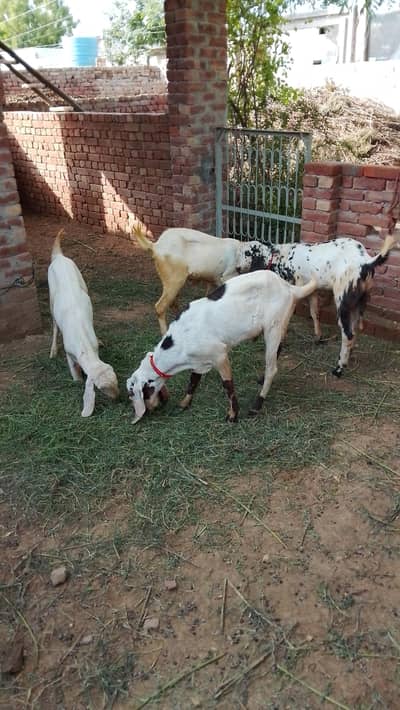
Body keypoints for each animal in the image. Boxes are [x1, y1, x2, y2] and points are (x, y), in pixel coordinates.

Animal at [48, 230, 119, 416]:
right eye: (101, 389)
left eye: (117, 379)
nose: (117, 397)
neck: (84, 345)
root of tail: (59, 257)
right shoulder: (69, 352)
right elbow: (75, 371)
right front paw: (77, 381)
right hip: (50, 297)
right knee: (54, 325)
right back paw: (52, 351)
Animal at [126, 270, 317, 424]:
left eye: (132, 394)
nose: (149, 410)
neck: (180, 339)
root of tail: (290, 289)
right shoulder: (199, 361)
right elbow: (193, 381)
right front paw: (184, 403)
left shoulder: (220, 355)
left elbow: (228, 385)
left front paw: (233, 415)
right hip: (278, 329)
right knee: (278, 351)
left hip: (273, 328)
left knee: (272, 368)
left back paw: (257, 405)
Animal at [132, 225, 273, 334]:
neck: (239, 252)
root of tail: (156, 246)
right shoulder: (227, 276)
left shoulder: (212, 280)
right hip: (175, 280)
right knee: (160, 306)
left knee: (172, 302)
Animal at [239, 232, 397, 376]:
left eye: (246, 253)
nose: (238, 268)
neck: (282, 257)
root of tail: (365, 261)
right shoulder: (312, 290)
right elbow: (314, 312)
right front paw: (318, 337)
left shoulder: (294, 290)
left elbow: (286, 319)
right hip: (358, 303)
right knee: (354, 330)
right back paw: (348, 356)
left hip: (342, 302)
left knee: (348, 334)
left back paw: (339, 368)